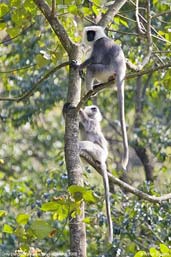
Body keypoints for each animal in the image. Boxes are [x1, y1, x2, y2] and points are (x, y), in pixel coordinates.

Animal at [73, 26, 128, 170]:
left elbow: (93, 59)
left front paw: (78, 66)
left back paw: (89, 90)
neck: (101, 37)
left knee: (92, 67)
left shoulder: (99, 44)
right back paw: (95, 88)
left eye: (92, 33)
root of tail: (121, 73)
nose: (89, 37)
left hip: (106, 71)